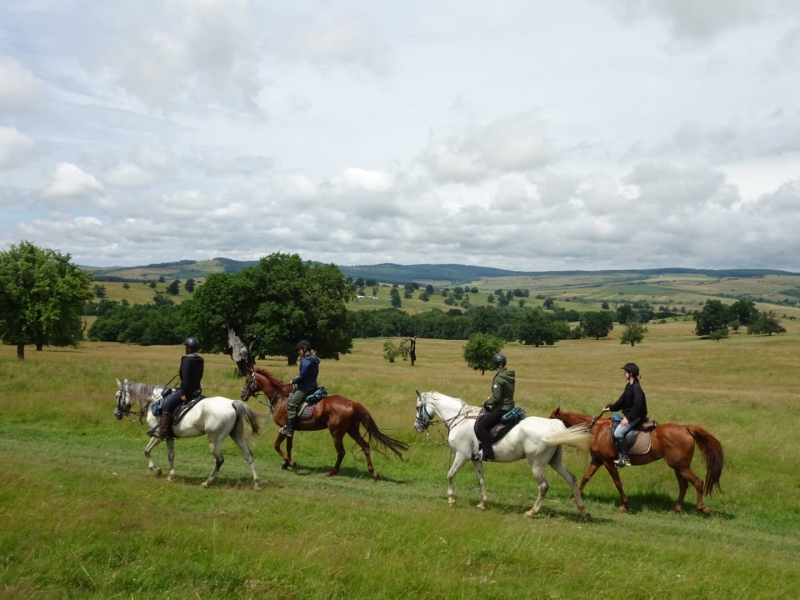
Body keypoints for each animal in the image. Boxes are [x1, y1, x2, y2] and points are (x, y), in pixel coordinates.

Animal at [115, 380, 262, 492]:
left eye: (117, 396)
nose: (116, 414)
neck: (155, 401)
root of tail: (232, 403)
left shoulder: (158, 435)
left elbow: (146, 450)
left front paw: (156, 470)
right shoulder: (169, 437)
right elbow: (171, 455)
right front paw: (170, 476)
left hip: (214, 440)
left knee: (219, 460)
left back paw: (207, 482)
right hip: (237, 435)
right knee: (248, 456)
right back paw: (256, 483)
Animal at [242, 366, 410, 478]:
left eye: (248, 380)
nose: (242, 395)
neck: (280, 398)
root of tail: (352, 403)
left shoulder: (284, 428)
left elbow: (277, 446)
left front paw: (290, 463)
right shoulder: (291, 429)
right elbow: (289, 447)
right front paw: (287, 463)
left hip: (336, 432)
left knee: (341, 452)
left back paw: (332, 472)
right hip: (352, 430)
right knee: (365, 446)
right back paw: (373, 472)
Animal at [416, 392, 592, 516]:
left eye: (418, 407)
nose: (417, 427)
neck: (460, 419)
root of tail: (554, 426)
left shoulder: (462, 455)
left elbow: (450, 475)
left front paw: (451, 500)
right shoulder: (475, 459)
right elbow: (480, 480)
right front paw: (482, 503)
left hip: (537, 464)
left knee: (543, 486)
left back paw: (531, 512)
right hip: (555, 461)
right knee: (571, 479)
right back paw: (584, 511)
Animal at [552, 408, 724, 516]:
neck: (596, 430)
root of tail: (686, 428)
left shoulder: (608, 462)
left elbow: (618, 483)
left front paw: (624, 504)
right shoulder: (598, 460)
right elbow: (586, 477)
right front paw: (575, 497)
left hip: (681, 466)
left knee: (698, 482)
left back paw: (702, 509)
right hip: (678, 467)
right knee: (684, 486)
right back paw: (675, 509)